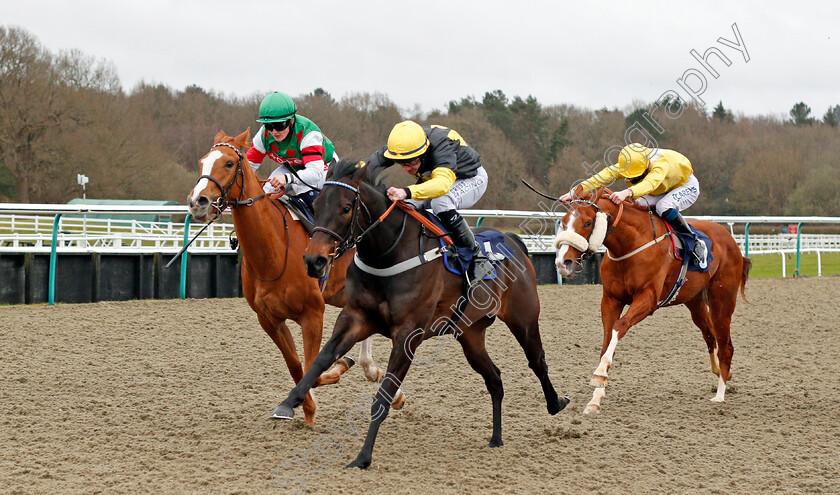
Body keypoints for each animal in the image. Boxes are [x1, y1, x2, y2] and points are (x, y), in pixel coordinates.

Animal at [185, 129, 386, 426]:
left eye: (229, 163)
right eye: (202, 162)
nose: (197, 202)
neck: (273, 253)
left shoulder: (312, 313)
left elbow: (313, 366)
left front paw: (336, 369)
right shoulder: (269, 319)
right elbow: (296, 366)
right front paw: (302, 409)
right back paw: (373, 371)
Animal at [272, 161, 568, 470]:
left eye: (345, 208)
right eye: (316, 205)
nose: (313, 261)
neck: (389, 254)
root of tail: (512, 241)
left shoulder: (407, 335)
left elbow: (383, 396)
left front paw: (363, 457)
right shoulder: (354, 318)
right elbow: (321, 359)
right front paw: (289, 402)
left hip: (524, 319)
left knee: (537, 361)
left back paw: (555, 403)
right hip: (470, 335)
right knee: (495, 379)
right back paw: (496, 438)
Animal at [556, 186, 752, 414]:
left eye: (588, 222)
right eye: (564, 221)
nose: (562, 262)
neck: (630, 244)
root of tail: (731, 241)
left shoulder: (648, 298)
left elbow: (620, 326)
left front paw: (599, 376)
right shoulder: (611, 299)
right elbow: (606, 341)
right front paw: (596, 398)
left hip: (722, 300)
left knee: (726, 345)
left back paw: (720, 394)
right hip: (694, 301)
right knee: (710, 335)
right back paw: (721, 373)